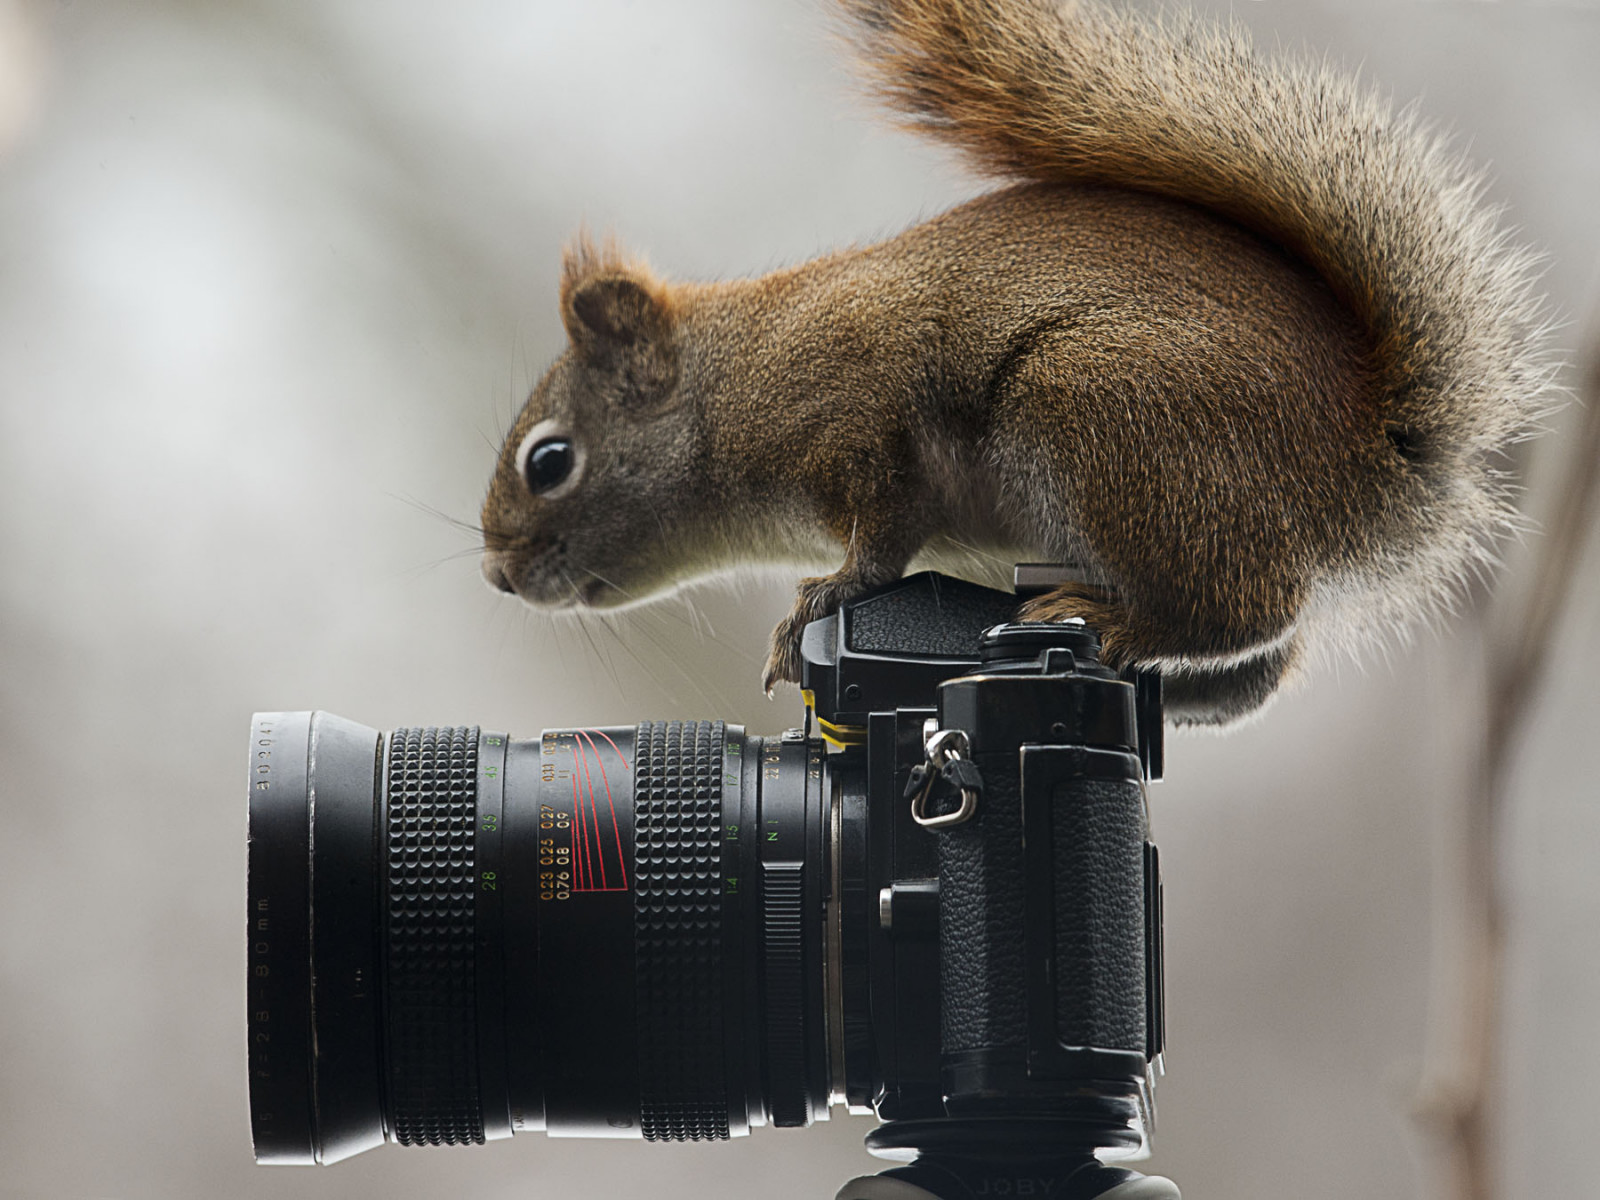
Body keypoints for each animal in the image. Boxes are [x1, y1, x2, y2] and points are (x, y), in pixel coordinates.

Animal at [478, 0, 1552, 725]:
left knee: (1242, 607)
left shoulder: (857, 419)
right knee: (1260, 670)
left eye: (550, 460)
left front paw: (824, 600)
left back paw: (1118, 630)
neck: (737, 380)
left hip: (1097, 414)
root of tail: (1373, 456)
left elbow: (882, 537)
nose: (498, 576)